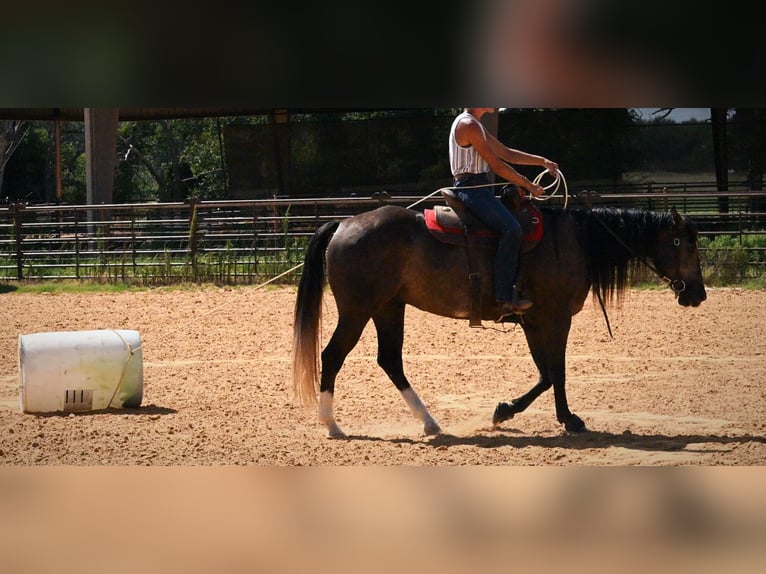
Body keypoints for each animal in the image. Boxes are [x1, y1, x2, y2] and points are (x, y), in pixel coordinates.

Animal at [292, 192, 707, 438]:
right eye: (685, 245)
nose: (699, 294)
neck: (572, 240)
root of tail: (344, 223)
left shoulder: (533, 320)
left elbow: (545, 373)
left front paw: (508, 411)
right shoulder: (556, 317)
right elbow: (556, 372)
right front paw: (565, 419)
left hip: (389, 307)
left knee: (390, 360)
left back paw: (430, 423)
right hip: (358, 309)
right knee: (333, 355)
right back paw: (332, 425)